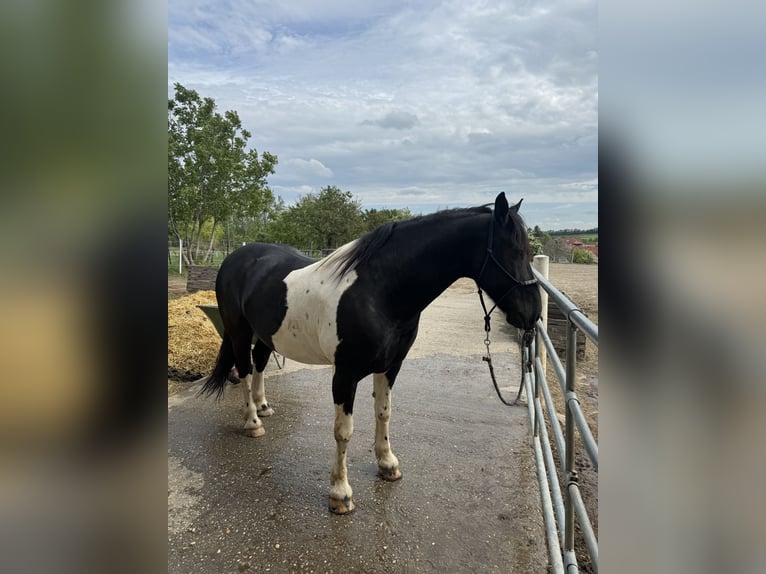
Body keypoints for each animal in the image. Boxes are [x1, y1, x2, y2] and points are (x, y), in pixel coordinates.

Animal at [201, 191, 544, 516]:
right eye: (513, 252)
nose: (533, 314)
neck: (378, 291)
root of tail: (236, 257)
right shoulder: (345, 374)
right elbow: (343, 432)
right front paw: (340, 494)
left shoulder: (391, 366)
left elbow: (384, 413)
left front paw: (388, 464)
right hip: (239, 331)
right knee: (245, 369)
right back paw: (252, 422)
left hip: (267, 334)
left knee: (259, 363)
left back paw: (264, 407)